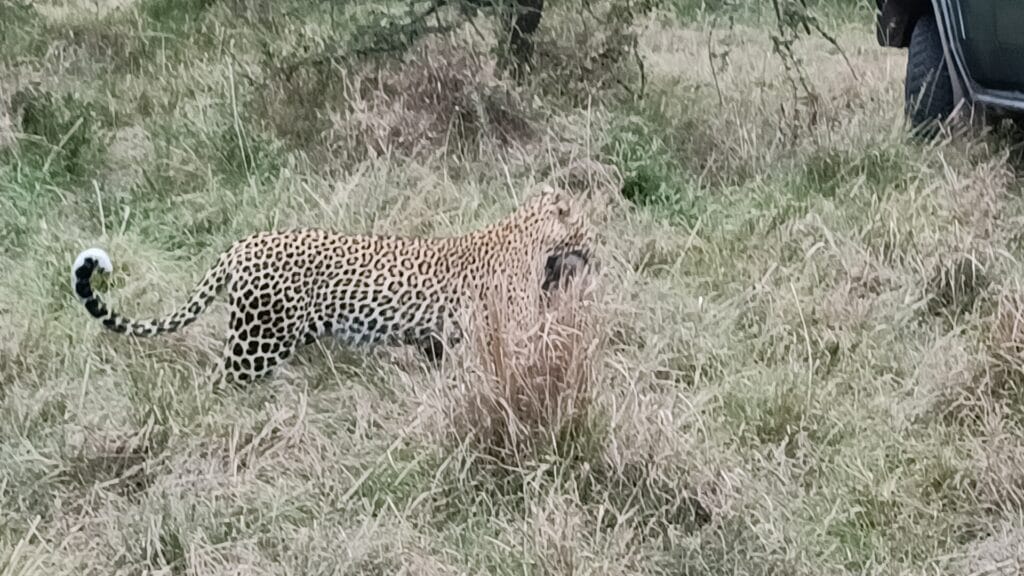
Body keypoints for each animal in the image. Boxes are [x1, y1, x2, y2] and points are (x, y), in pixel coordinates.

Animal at [71, 185, 592, 386]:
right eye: (588, 226)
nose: (598, 247)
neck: (529, 235)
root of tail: (239, 246)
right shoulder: (512, 330)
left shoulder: (441, 340)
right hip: (257, 342)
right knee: (218, 379)